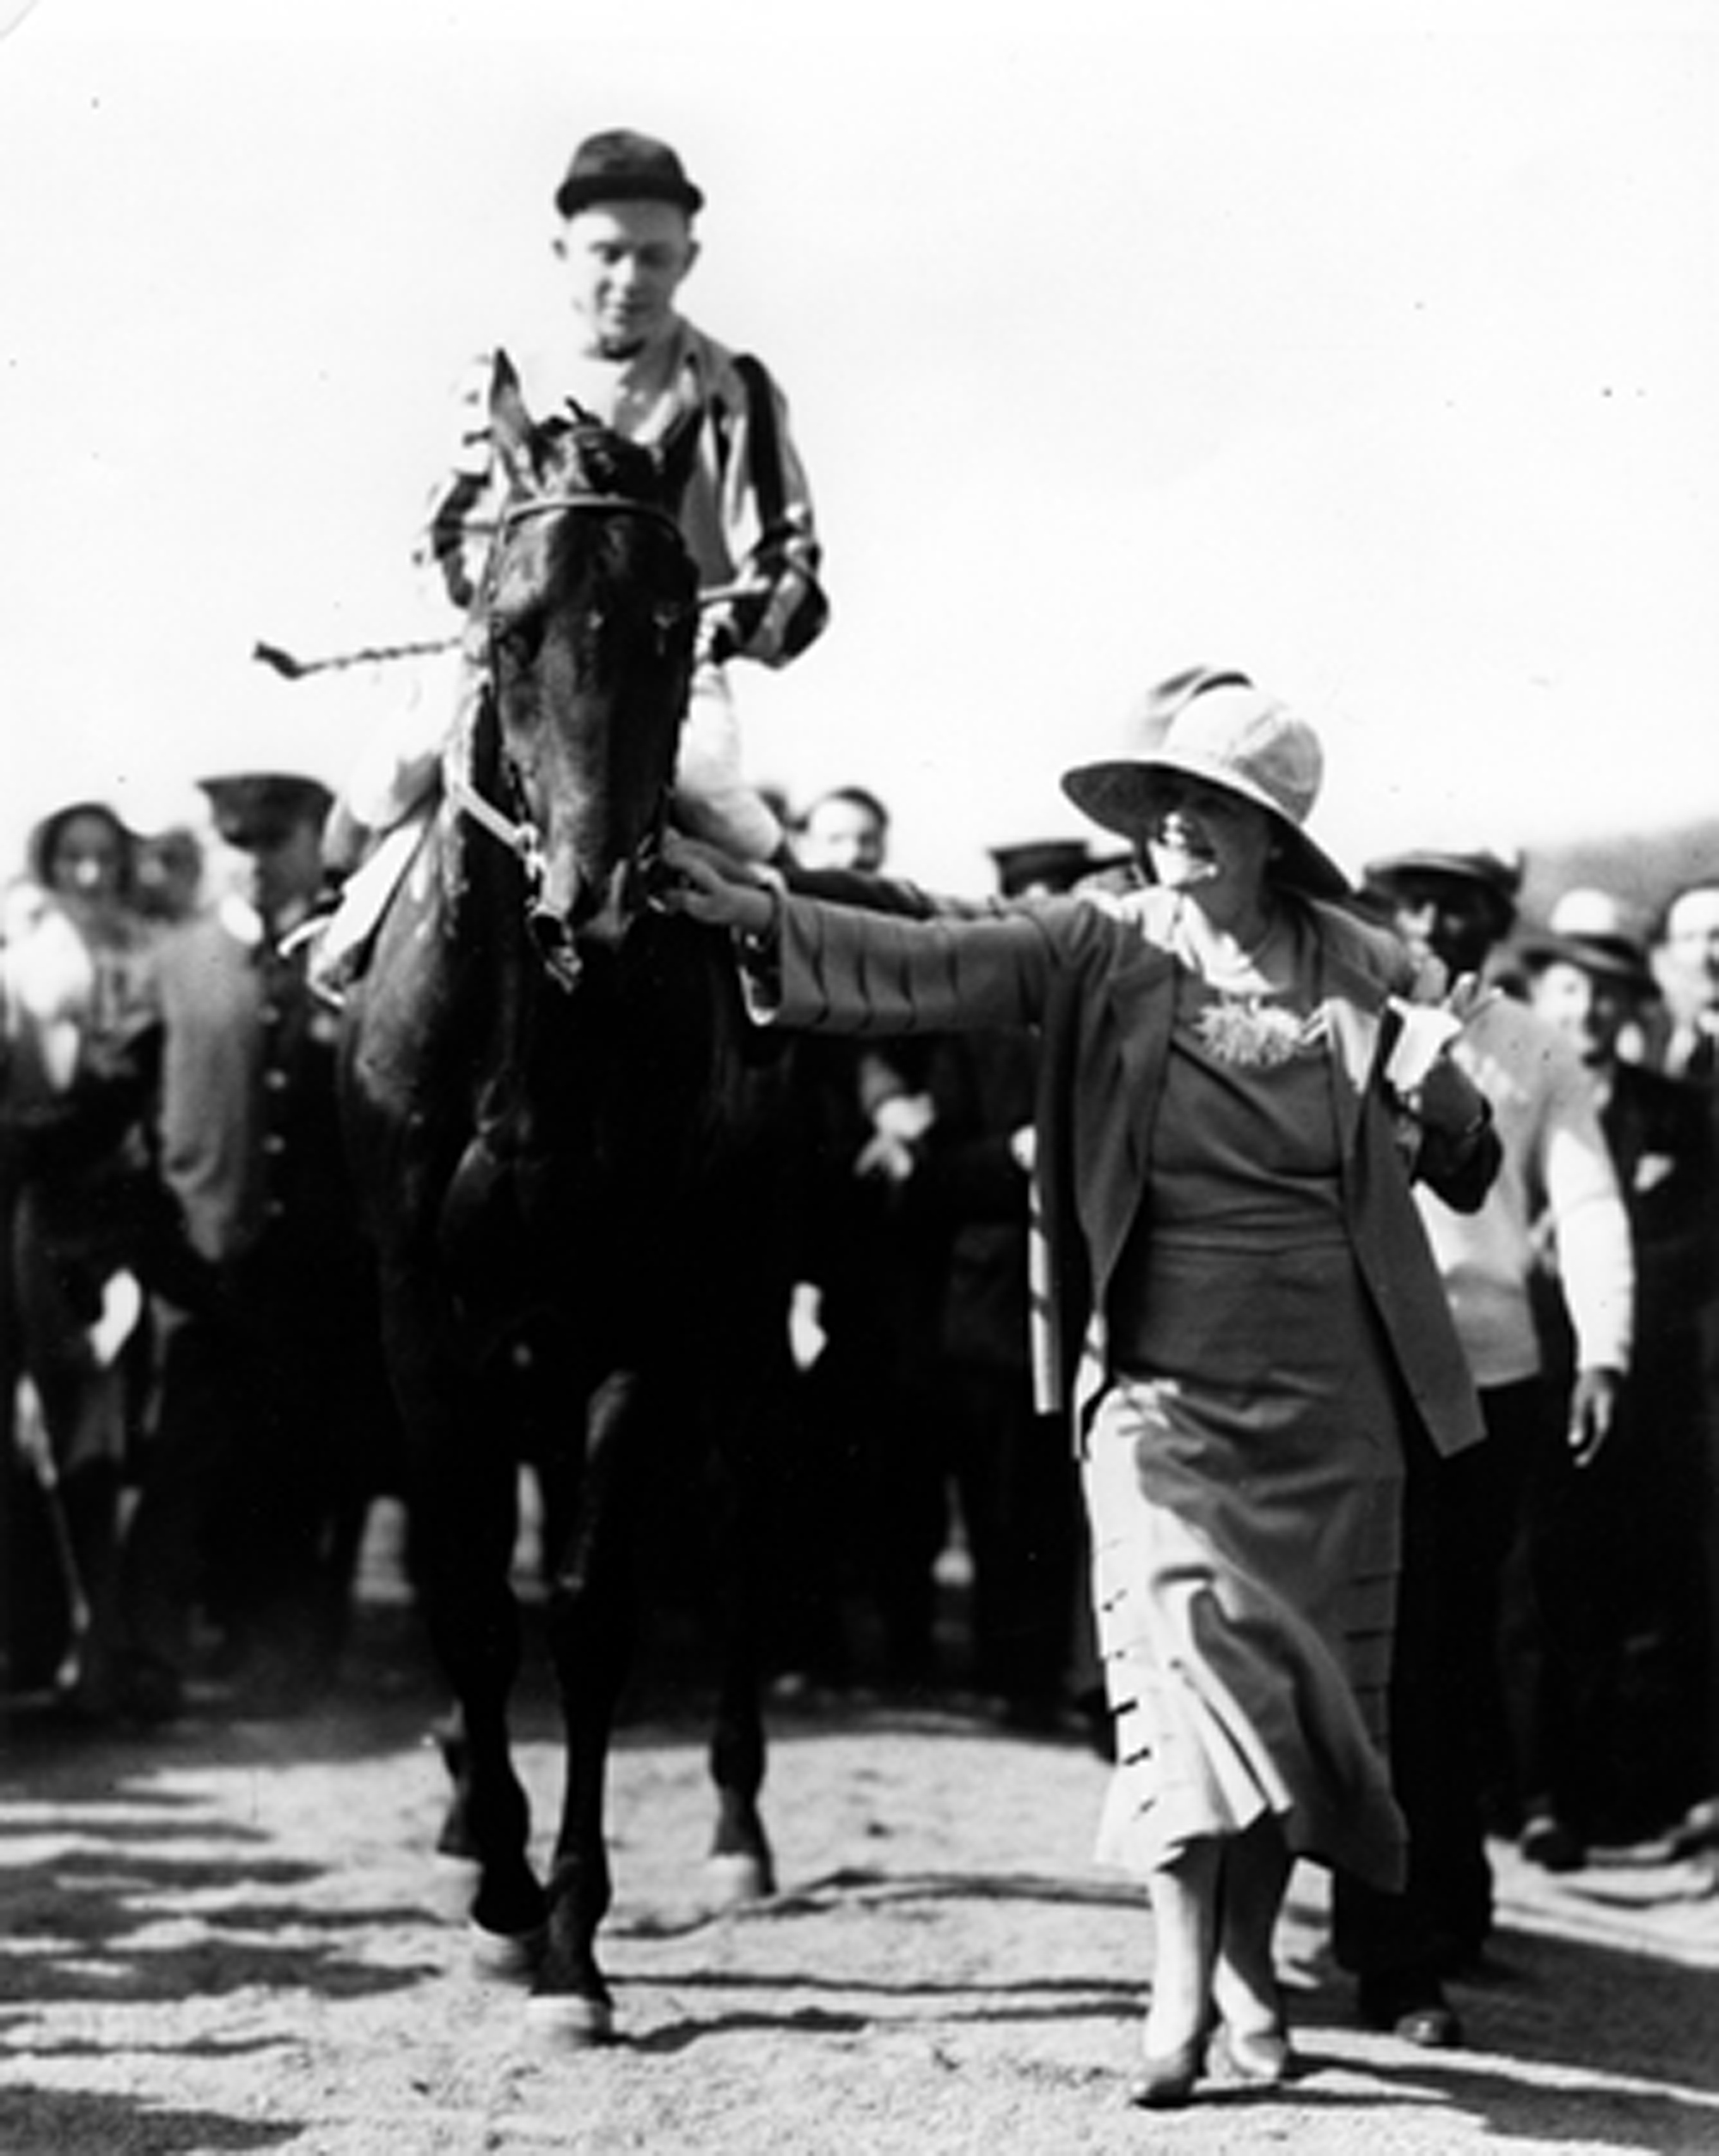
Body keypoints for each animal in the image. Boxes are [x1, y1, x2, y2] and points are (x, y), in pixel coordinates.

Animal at [338, 353, 802, 2035]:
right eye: (512, 622)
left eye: (672, 625)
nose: (592, 898)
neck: (537, 1027)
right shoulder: (422, 1311)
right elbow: (472, 1590)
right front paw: (496, 1884)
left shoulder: (638, 1311)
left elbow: (594, 1607)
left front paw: (572, 1936)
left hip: (744, 1314)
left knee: (742, 1519)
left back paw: (736, 1826)